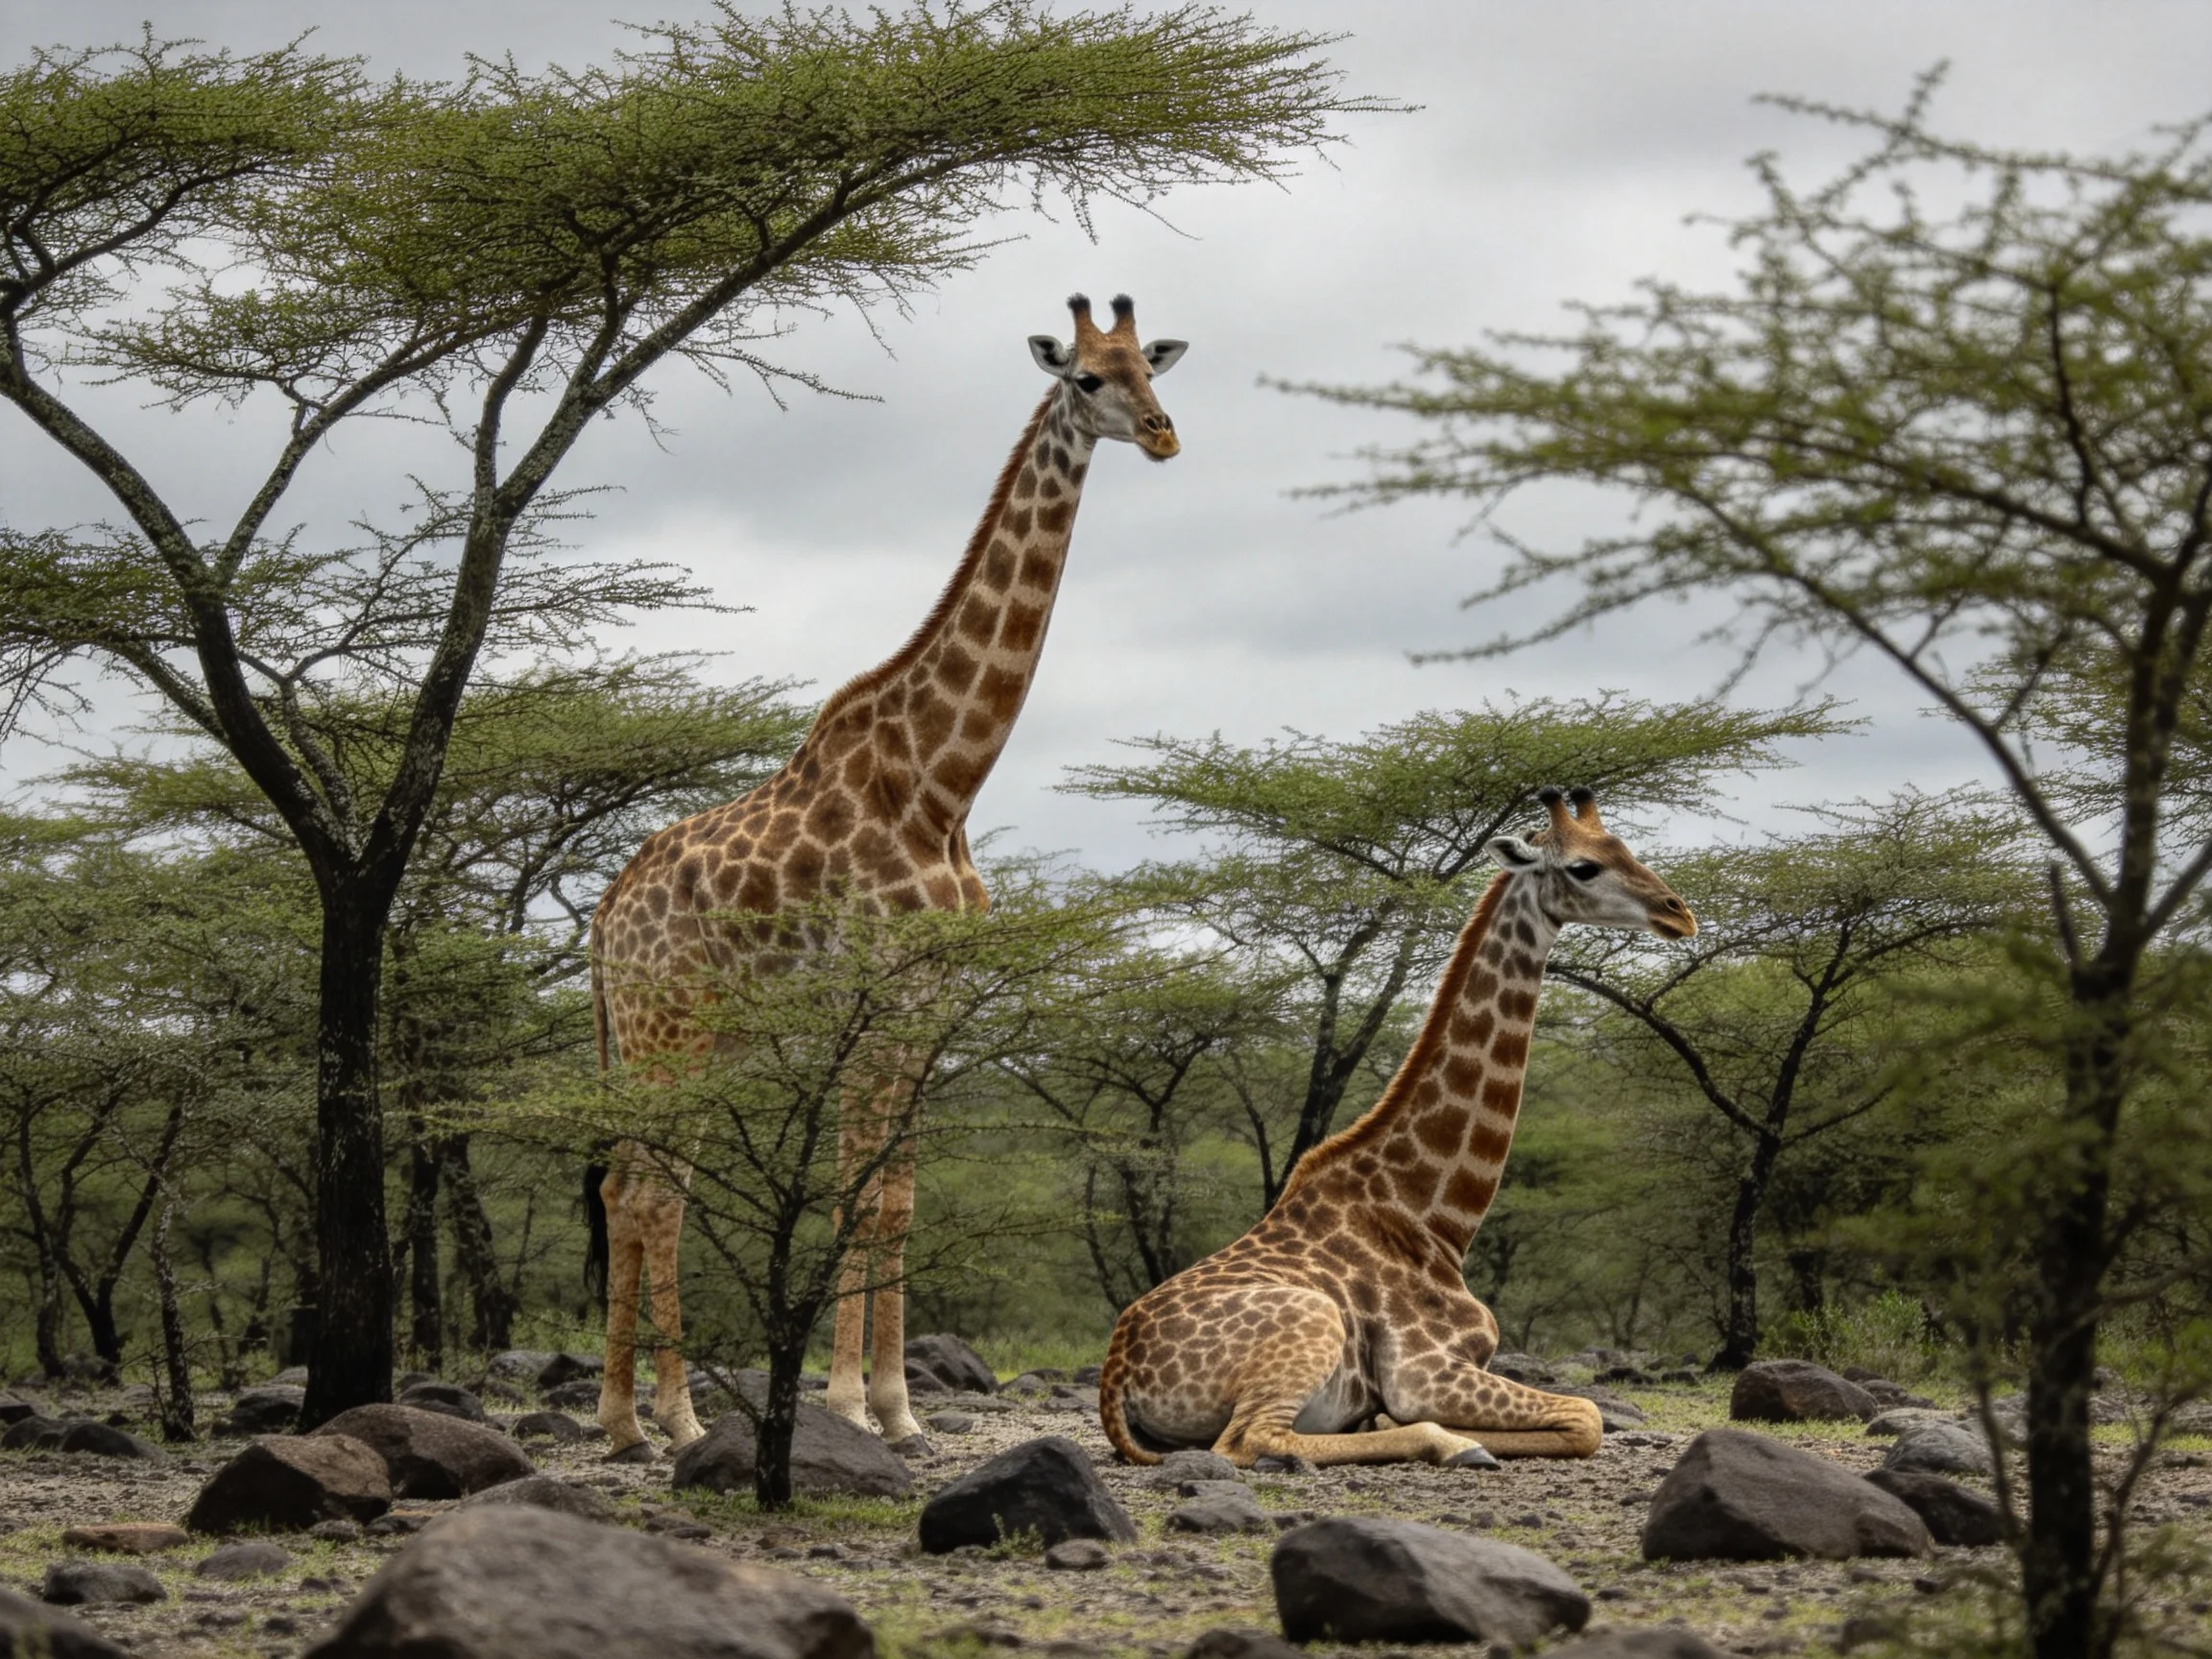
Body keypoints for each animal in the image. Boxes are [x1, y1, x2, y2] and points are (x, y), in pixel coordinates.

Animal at [588, 294, 1187, 1457]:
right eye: (1086, 378)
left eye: (1152, 363)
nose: (1164, 434)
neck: (941, 784)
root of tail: (602, 916)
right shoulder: (874, 1001)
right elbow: (859, 1198)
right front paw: (846, 1406)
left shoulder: (931, 1010)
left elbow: (899, 1199)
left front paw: (902, 1410)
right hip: (662, 1034)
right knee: (649, 1194)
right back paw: (669, 1419)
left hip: (697, 1043)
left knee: (632, 1188)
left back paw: (623, 1419)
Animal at [1097, 786, 1695, 1469]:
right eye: (1584, 867)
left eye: (1625, 847)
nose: (1680, 914)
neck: (1432, 1215)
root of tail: (1115, 1380)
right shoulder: (1422, 1370)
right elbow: (1587, 1415)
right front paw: (1456, 1438)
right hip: (1311, 1328)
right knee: (1249, 1440)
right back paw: (1456, 1446)